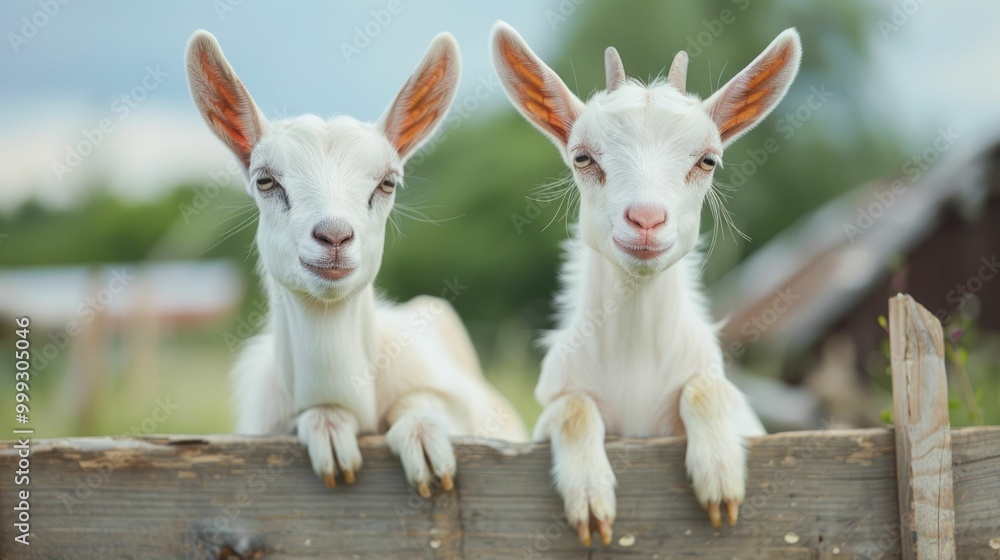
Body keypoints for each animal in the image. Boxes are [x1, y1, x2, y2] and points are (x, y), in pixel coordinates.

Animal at [186, 30, 526, 497]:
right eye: (265, 180)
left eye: (388, 182)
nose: (333, 236)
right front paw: (327, 427)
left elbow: (425, 403)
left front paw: (423, 440)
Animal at [490, 22, 801, 546]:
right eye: (582, 157)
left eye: (708, 160)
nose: (647, 220)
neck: (634, 359)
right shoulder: (551, 403)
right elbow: (573, 409)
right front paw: (590, 497)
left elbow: (706, 390)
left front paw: (720, 477)